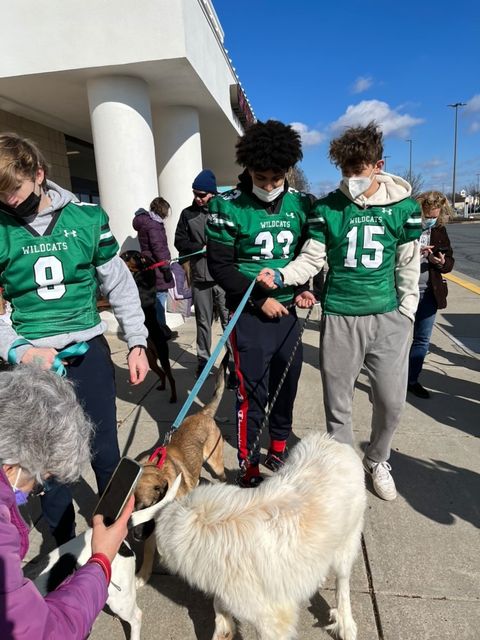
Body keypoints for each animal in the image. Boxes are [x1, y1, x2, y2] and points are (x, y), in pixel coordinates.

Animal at [121, 252, 177, 402]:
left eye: (126, 256)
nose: (118, 257)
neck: (143, 272)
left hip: (163, 357)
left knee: (171, 377)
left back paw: (173, 398)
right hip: (150, 360)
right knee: (161, 373)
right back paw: (162, 387)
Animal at [131, 432, 364, 640]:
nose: (135, 534)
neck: (213, 527)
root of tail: (334, 442)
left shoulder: (273, 620)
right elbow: (219, 606)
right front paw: (224, 630)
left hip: (346, 544)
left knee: (343, 586)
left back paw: (346, 625)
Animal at [132, 352, 228, 588]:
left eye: (146, 508)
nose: (136, 536)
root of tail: (203, 413)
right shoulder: (151, 530)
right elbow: (149, 551)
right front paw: (143, 574)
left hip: (216, 463)